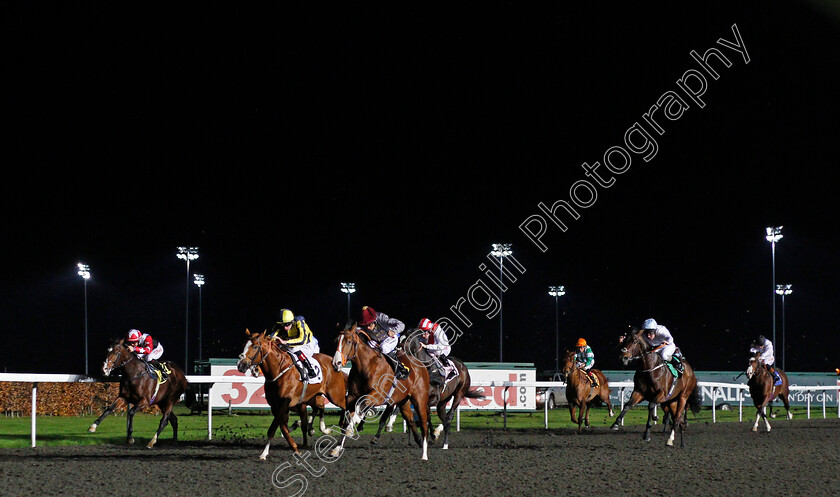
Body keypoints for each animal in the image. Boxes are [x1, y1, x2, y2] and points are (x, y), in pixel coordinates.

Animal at [235, 328, 346, 460]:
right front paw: (293, 449)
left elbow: (274, 428)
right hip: (314, 396)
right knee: (320, 407)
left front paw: (266, 452)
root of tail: (334, 362)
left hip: (336, 396)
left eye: (255, 346)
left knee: (346, 408)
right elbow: (283, 428)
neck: (279, 371)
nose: (241, 365)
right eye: (243, 345)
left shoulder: (285, 403)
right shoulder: (275, 406)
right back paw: (321, 429)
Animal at [330, 320, 434, 460]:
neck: (366, 366)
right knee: (411, 420)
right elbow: (346, 421)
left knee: (423, 423)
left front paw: (356, 423)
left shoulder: (377, 396)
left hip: (420, 400)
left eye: (349, 341)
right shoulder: (351, 397)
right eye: (336, 341)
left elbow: (361, 406)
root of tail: (421, 365)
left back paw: (424, 454)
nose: (336, 363)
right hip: (404, 402)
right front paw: (336, 449)